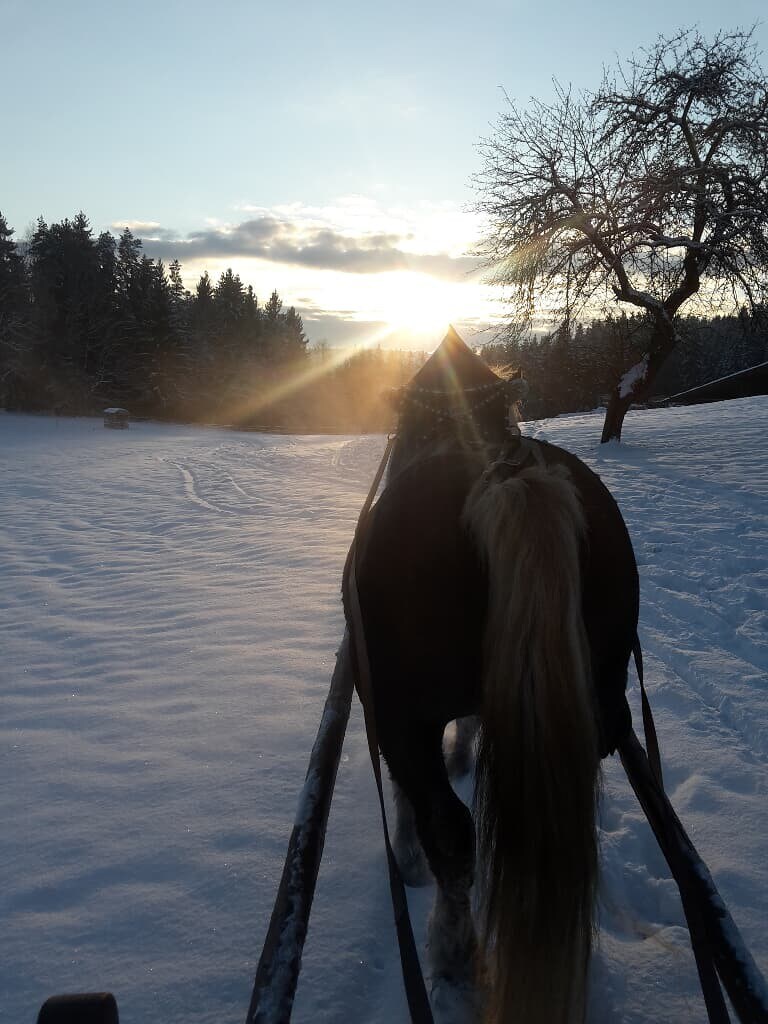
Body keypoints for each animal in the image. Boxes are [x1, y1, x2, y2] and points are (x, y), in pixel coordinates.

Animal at [346, 329, 638, 1024]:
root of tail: (509, 480)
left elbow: (409, 797)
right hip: (594, 706)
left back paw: (453, 961)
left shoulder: (393, 715)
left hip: (401, 715)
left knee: (453, 837)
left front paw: (408, 861)